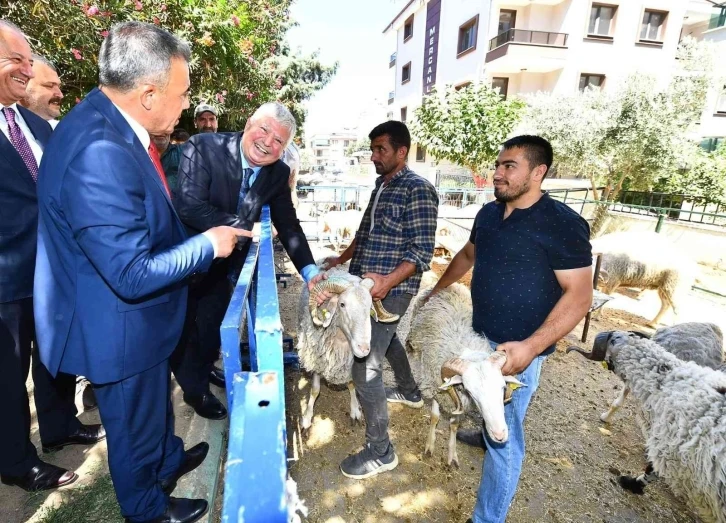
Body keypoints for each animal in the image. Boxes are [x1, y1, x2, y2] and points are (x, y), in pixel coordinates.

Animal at [406, 284, 528, 468]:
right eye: (471, 392)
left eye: (502, 387)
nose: (499, 435)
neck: (466, 348)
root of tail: (453, 285)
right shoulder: (436, 387)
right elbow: (434, 417)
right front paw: (429, 446)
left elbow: (454, 425)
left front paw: (452, 455)